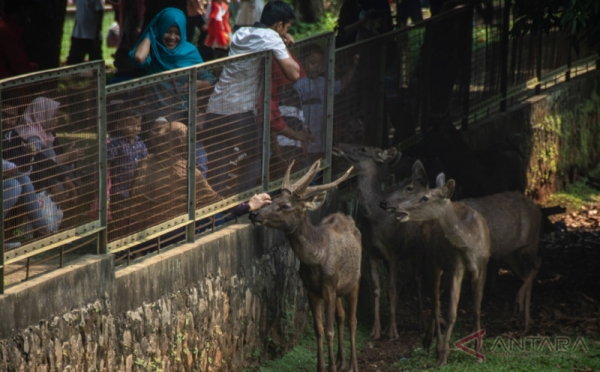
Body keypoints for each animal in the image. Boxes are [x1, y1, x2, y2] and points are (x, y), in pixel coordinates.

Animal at [248, 159, 360, 372]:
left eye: (285, 205)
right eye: (273, 199)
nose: (254, 213)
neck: (315, 260)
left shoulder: (329, 286)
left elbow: (329, 330)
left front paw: (331, 368)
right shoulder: (311, 289)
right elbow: (319, 329)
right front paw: (322, 367)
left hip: (354, 282)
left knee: (352, 320)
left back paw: (352, 365)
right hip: (340, 289)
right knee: (341, 316)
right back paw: (341, 361)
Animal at [332, 143, 426, 340]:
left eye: (363, 148)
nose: (338, 146)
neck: (377, 220)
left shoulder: (394, 251)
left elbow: (391, 289)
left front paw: (393, 332)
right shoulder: (371, 252)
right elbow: (377, 288)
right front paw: (376, 330)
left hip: (417, 249)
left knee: (417, 279)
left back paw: (422, 322)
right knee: (402, 280)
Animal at [382, 167, 490, 368]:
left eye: (425, 197)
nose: (395, 208)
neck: (470, 245)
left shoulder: (483, 266)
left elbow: (477, 309)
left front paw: (479, 352)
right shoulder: (456, 267)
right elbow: (451, 313)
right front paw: (443, 355)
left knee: (437, 298)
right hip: (434, 262)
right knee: (435, 302)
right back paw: (431, 343)